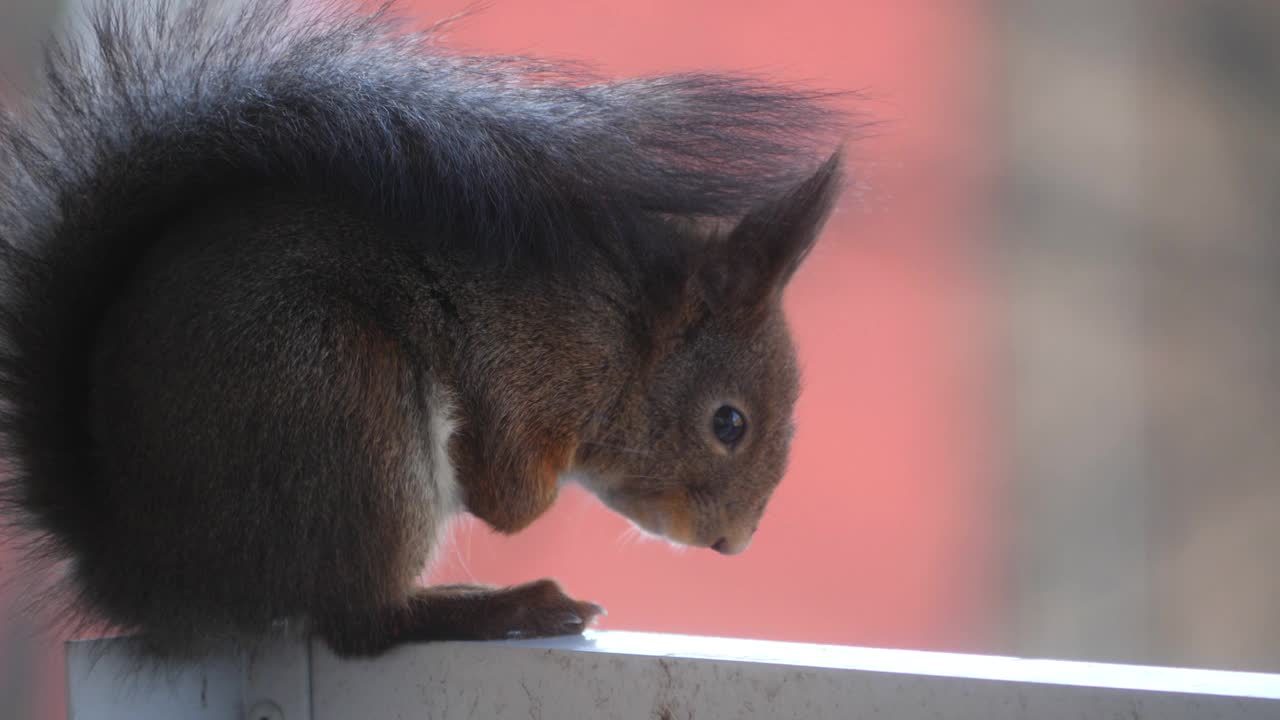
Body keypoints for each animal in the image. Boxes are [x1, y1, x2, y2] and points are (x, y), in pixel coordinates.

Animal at [0, 0, 849, 655]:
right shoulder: (526, 358)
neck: (625, 334)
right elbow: (510, 495)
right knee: (361, 624)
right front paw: (502, 485)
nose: (734, 541)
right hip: (341, 402)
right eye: (729, 423)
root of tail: (143, 564)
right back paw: (500, 608)